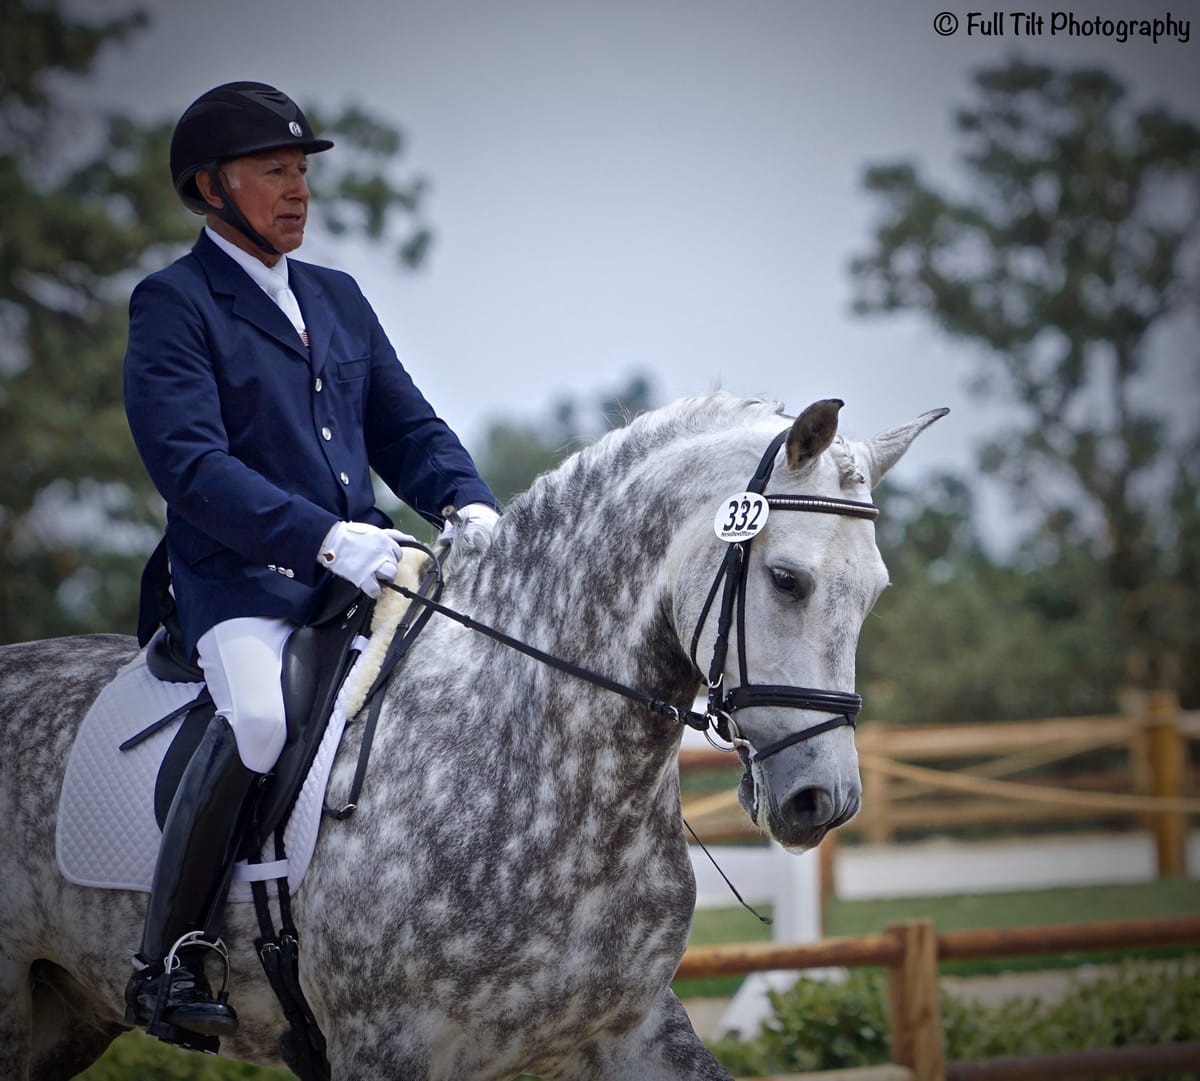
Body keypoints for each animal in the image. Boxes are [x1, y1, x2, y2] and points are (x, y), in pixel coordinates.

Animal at [0, 392, 945, 1081]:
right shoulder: (386, 1049)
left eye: (874, 590)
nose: (823, 800)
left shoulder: (635, 1026)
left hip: (63, 1012)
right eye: (786, 579)